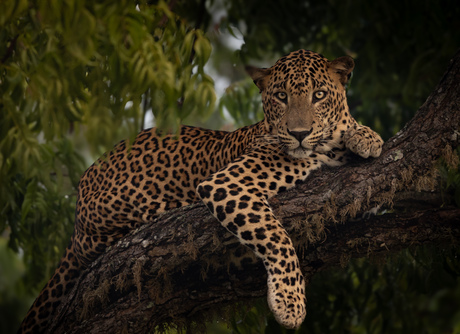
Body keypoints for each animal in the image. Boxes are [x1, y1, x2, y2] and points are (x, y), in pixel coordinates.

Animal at [18, 48, 382, 332]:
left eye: (319, 95)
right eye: (281, 97)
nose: (300, 133)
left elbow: (350, 129)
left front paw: (366, 137)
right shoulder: (226, 183)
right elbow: (276, 237)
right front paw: (289, 303)